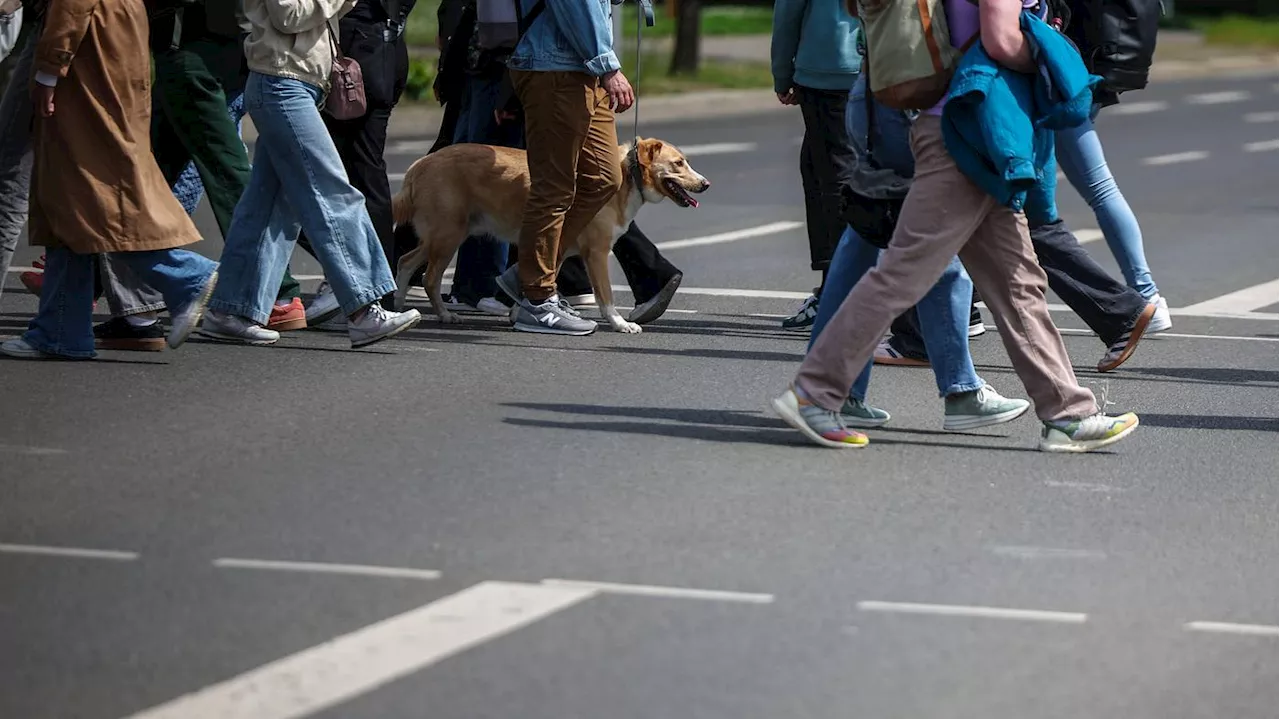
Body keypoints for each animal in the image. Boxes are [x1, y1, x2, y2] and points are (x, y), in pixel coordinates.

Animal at [389, 135, 711, 332]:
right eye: (679, 163)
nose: (706, 184)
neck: (625, 177)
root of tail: (421, 164)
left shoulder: (556, 245)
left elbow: (541, 281)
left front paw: (527, 313)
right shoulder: (596, 253)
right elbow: (605, 296)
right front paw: (620, 324)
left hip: (443, 235)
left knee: (405, 261)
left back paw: (399, 305)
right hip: (448, 236)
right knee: (430, 278)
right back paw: (443, 315)